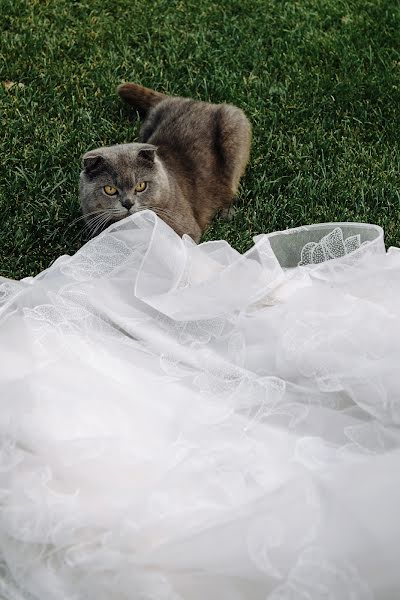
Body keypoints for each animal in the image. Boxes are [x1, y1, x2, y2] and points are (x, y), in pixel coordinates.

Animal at [79, 82, 252, 241]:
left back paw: (227, 212)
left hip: (234, 128)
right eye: (109, 189)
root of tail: (185, 99)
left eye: (141, 186)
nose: (128, 203)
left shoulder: (186, 230)